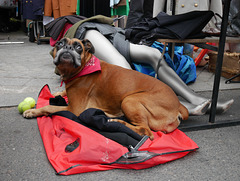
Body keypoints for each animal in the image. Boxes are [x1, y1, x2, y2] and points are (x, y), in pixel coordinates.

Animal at [24, 37, 189, 139]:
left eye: (78, 47)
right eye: (59, 43)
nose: (68, 47)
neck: (83, 67)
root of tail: (179, 106)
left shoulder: (74, 109)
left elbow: (49, 107)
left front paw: (32, 111)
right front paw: (59, 91)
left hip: (130, 100)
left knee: (145, 130)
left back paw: (117, 123)